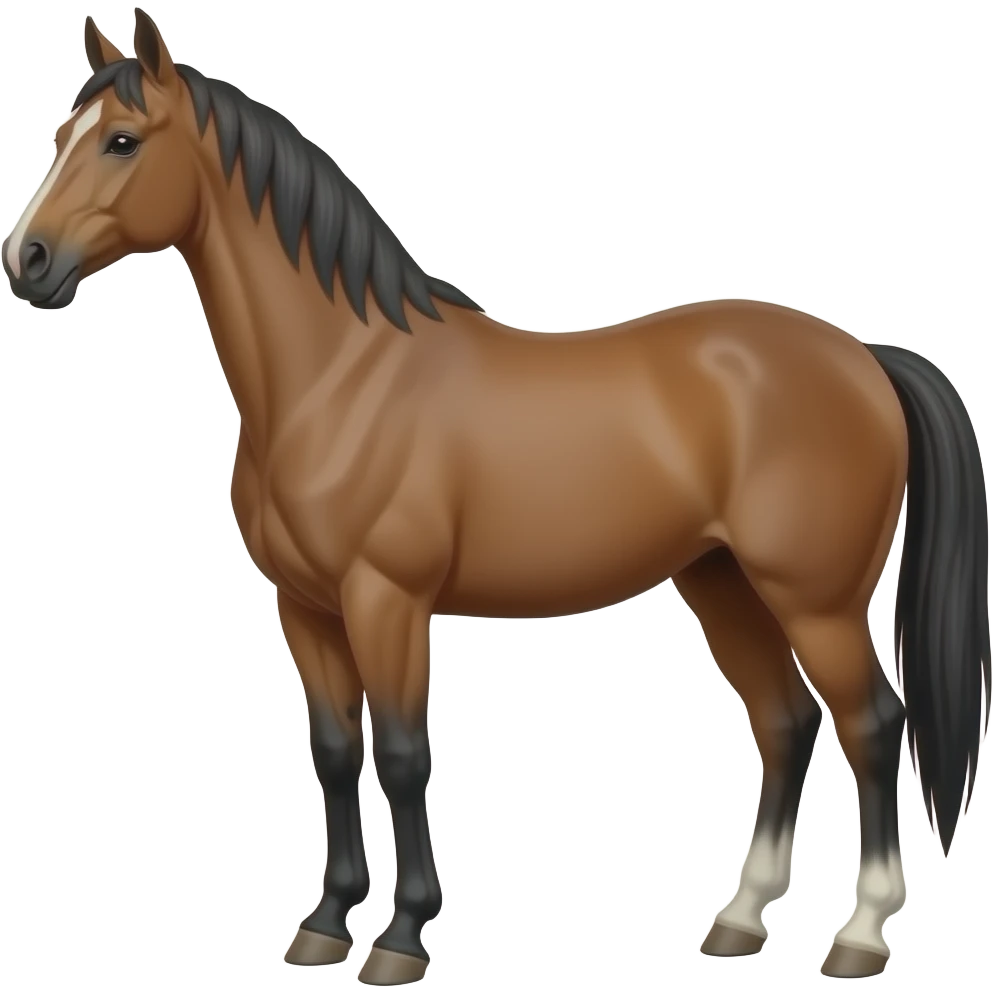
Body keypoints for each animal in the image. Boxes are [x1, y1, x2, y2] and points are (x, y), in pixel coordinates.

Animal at [3, 9, 989, 984]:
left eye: (123, 140)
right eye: (60, 136)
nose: (28, 260)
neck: (341, 376)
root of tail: (862, 357)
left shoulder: (386, 601)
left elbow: (403, 756)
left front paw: (401, 937)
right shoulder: (304, 607)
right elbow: (334, 752)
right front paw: (323, 923)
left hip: (814, 601)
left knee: (872, 724)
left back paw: (859, 934)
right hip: (722, 583)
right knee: (785, 724)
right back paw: (739, 921)